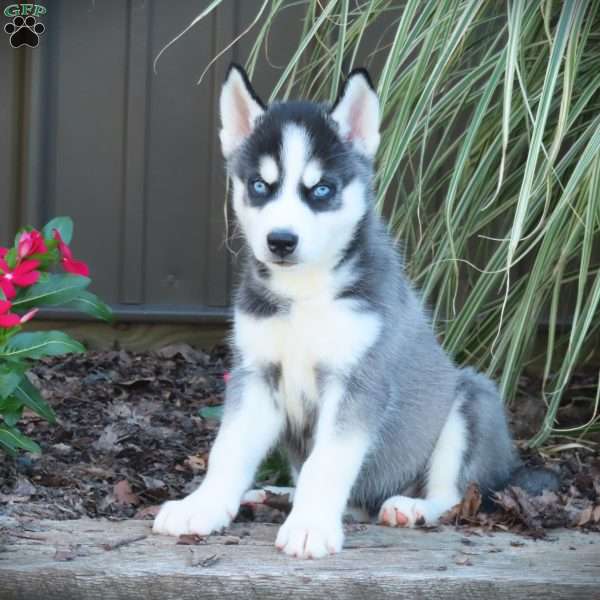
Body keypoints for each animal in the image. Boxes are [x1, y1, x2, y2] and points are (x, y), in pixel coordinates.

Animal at [154, 64, 548, 556]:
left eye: (321, 190)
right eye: (260, 186)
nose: (280, 241)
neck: (304, 295)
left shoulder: (358, 382)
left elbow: (328, 462)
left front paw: (311, 527)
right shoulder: (257, 374)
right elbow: (228, 450)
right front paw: (202, 506)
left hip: (470, 401)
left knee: (455, 495)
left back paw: (411, 506)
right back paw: (276, 493)